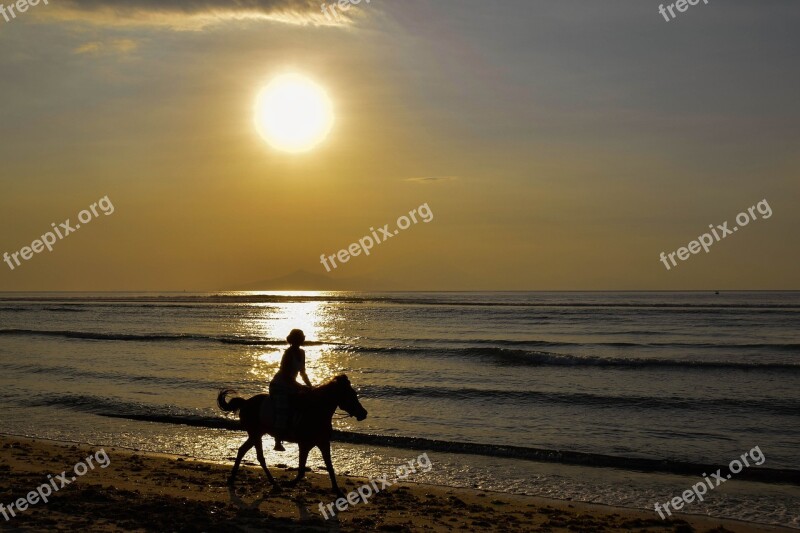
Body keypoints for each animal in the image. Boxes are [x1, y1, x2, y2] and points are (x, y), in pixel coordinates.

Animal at [219, 374, 368, 494]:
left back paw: (233, 478)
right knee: (259, 457)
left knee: (242, 450)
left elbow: (330, 466)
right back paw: (274, 484)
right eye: (351, 395)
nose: (364, 413)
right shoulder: (304, 445)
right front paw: (290, 484)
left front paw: (337, 490)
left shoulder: (323, 443)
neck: (316, 411)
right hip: (255, 434)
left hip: (256, 434)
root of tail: (246, 402)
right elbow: (302, 470)